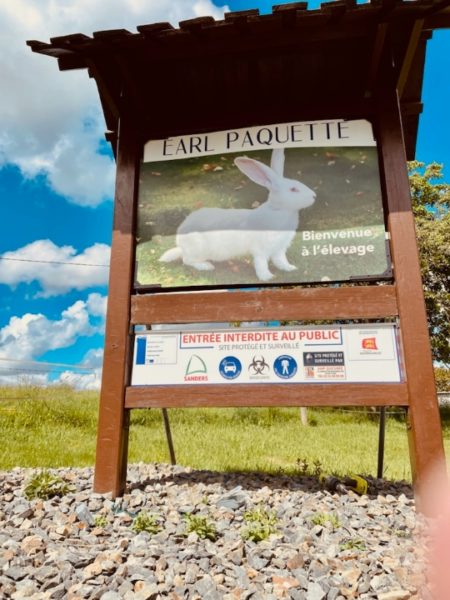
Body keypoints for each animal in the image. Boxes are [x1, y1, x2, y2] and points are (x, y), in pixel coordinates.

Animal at [160, 149, 314, 282]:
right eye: (293, 189)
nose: (314, 196)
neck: (279, 210)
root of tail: (180, 243)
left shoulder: (279, 248)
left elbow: (281, 260)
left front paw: (290, 268)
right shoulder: (260, 249)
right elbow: (261, 263)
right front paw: (267, 277)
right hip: (197, 249)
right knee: (187, 261)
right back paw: (206, 266)